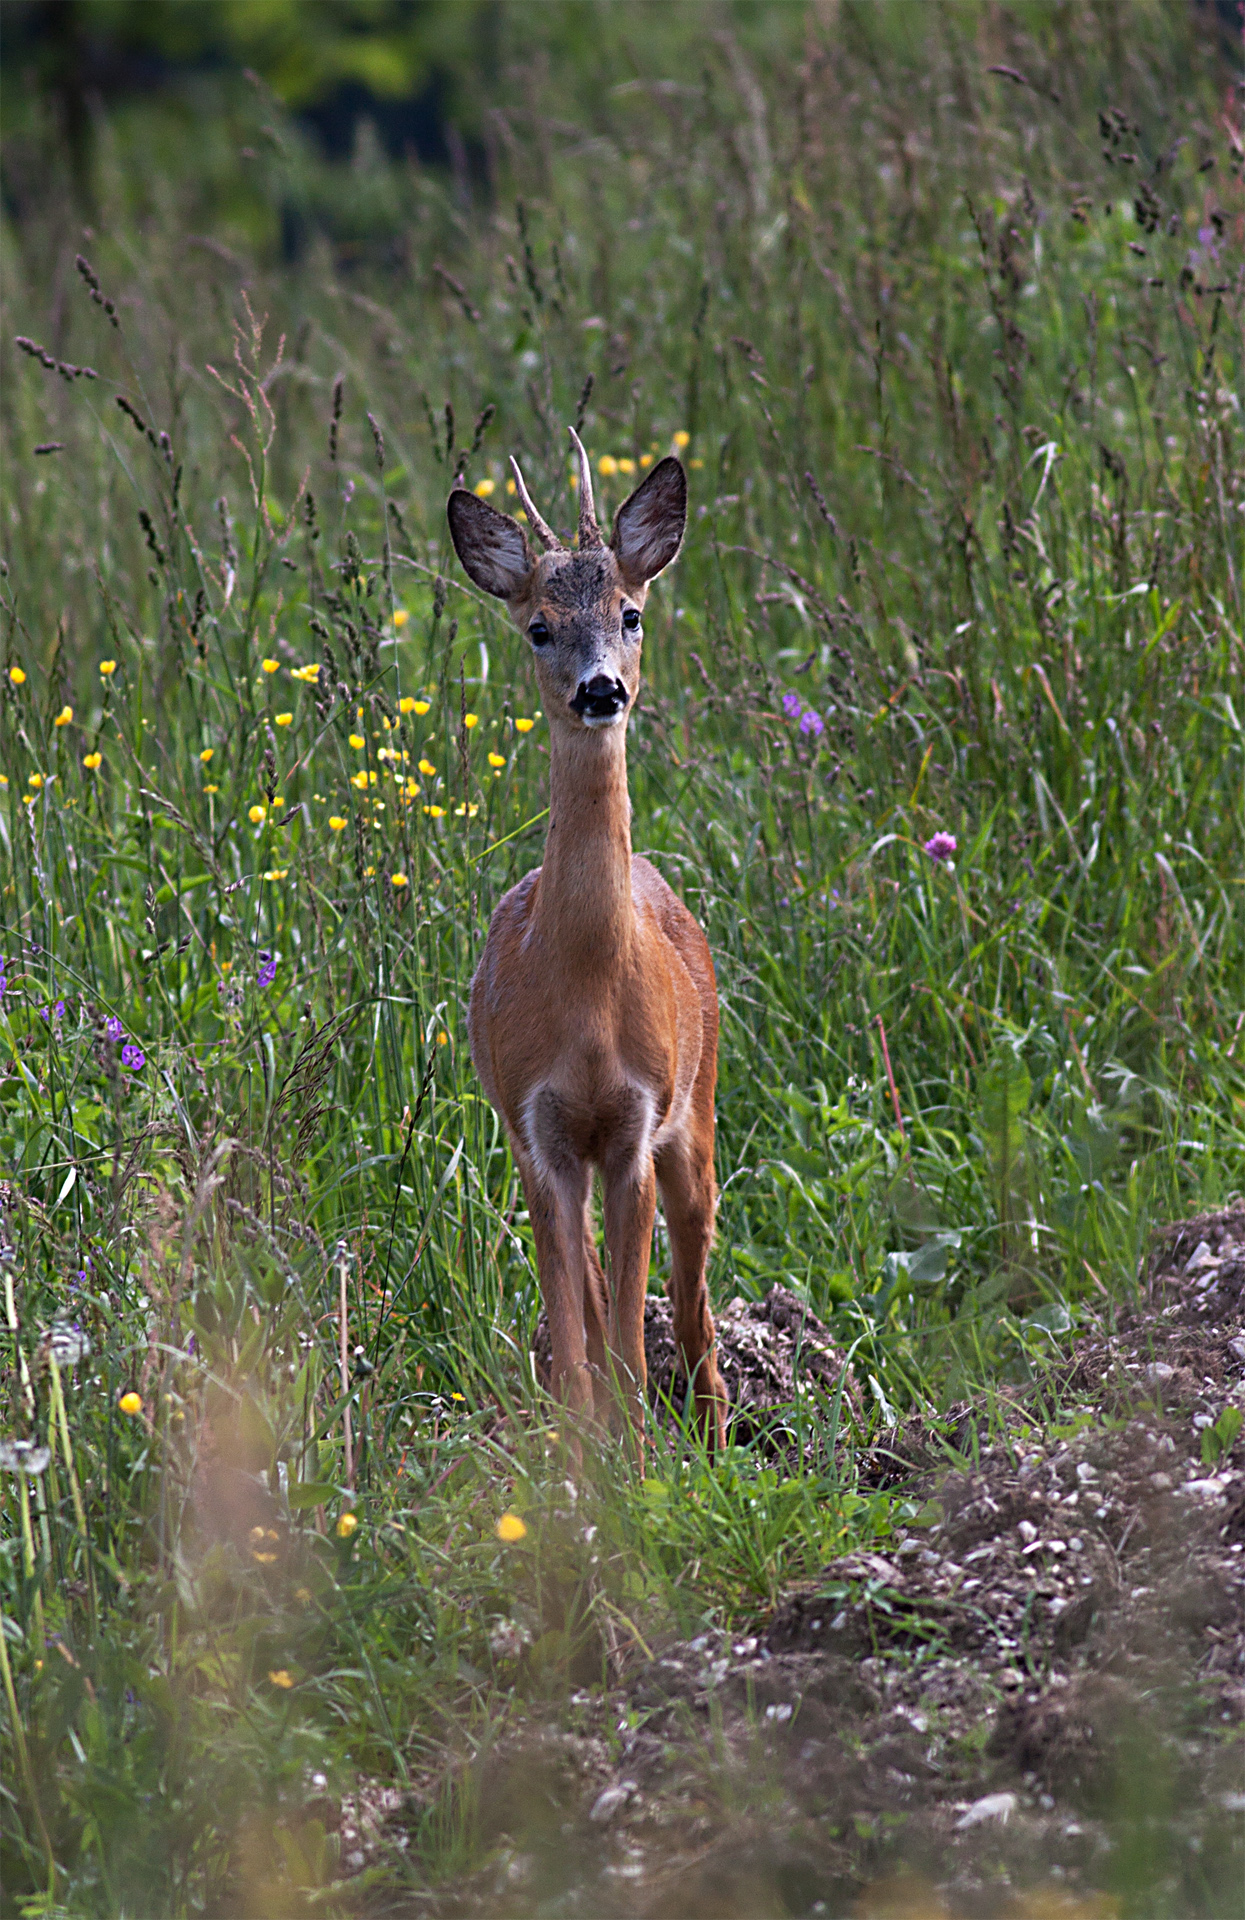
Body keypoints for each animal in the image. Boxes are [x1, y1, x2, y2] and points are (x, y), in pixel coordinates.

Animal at [447, 428, 728, 1462]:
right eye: (537, 626)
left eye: (631, 614)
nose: (599, 688)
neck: (588, 997)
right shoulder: (537, 1131)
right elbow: (575, 1340)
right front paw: (579, 1469)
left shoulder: (638, 1124)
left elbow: (637, 1340)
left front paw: (644, 1467)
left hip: (701, 1110)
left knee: (694, 1299)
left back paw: (716, 1432)